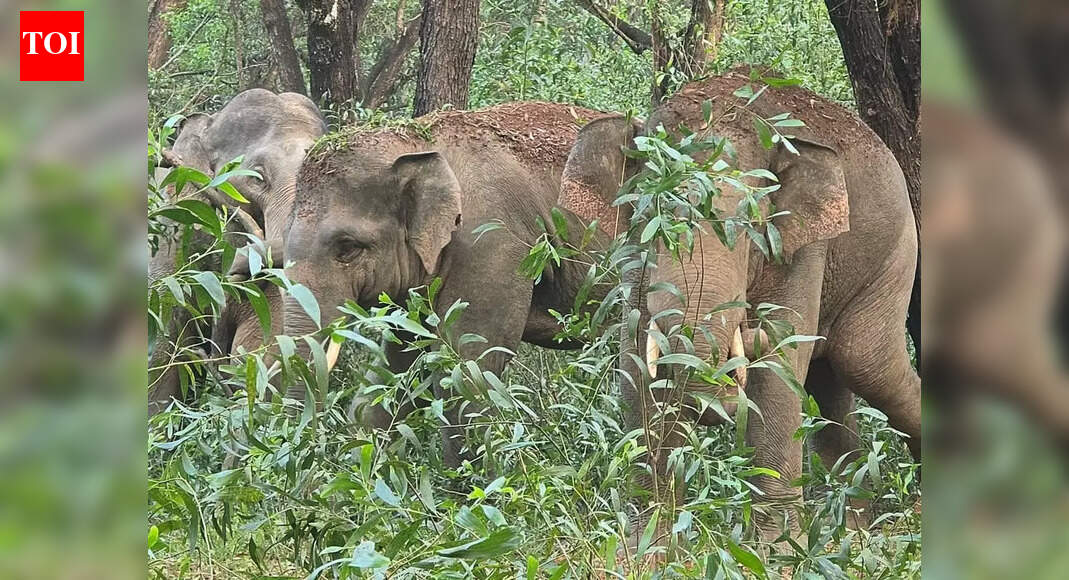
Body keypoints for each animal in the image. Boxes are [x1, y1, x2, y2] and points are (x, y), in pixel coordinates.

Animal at [558, 68, 921, 540]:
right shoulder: (634, 261)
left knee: (865, 362)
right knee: (830, 382)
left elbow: (779, 367)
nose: (718, 404)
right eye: (652, 218)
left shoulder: (801, 247)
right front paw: (647, 542)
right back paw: (850, 528)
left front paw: (776, 547)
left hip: (896, 255)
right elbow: (636, 361)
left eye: (751, 226)